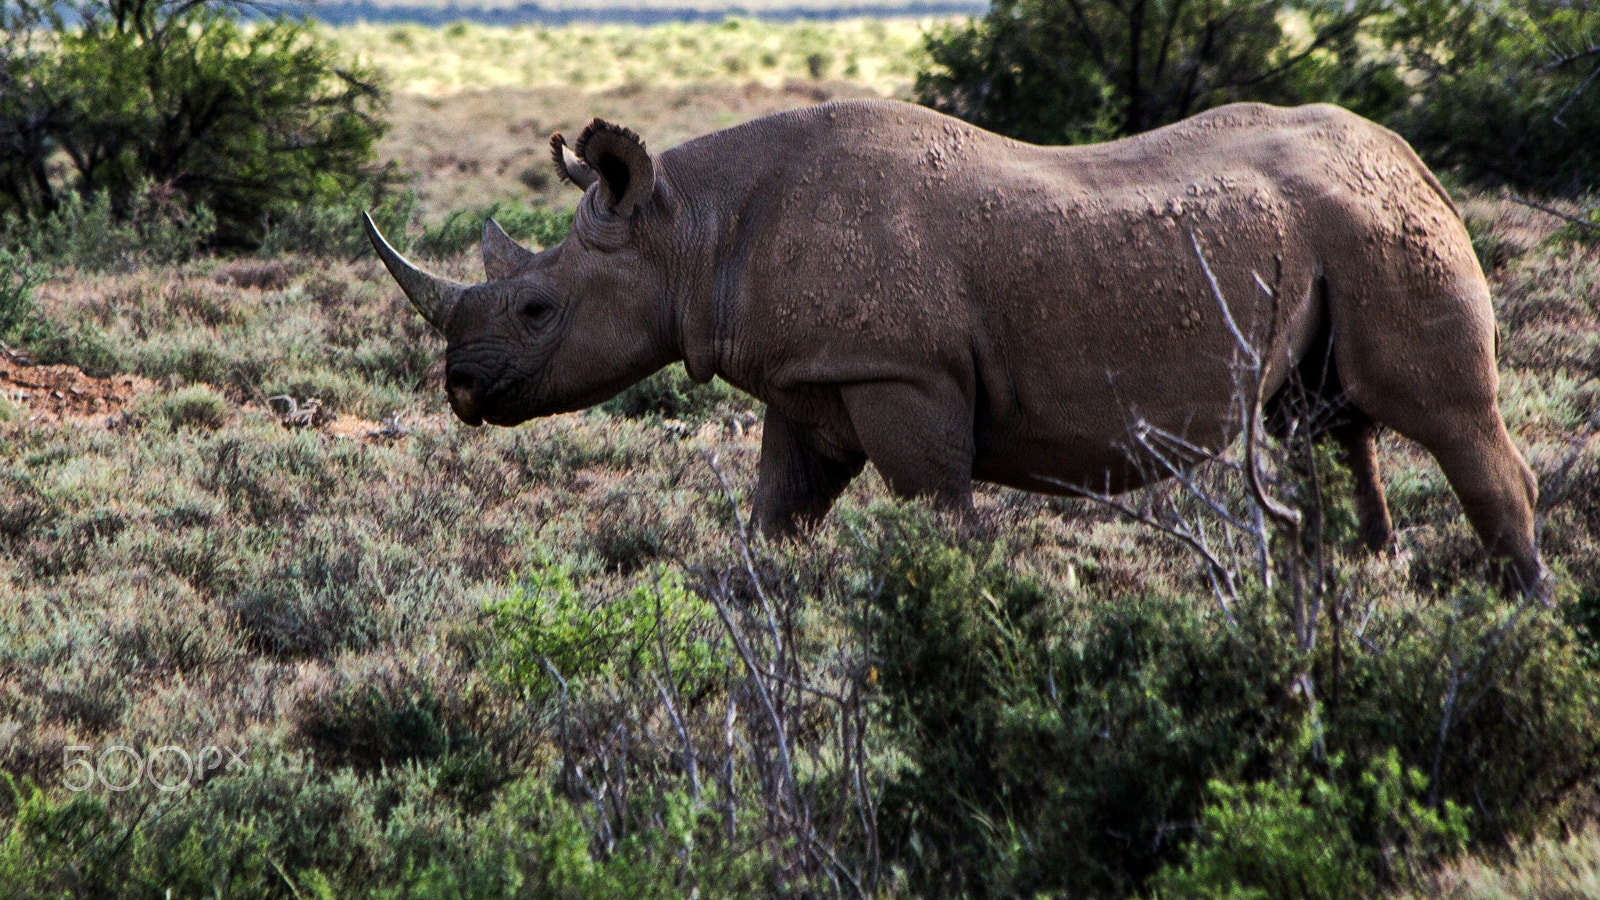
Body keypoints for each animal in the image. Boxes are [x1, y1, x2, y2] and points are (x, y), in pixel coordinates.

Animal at [363, 99, 1544, 592]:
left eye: (536, 311)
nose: (459, 387)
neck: (688, 227)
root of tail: (1415, 158)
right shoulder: (813, 382)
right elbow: (775, 515)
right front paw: (759, 607)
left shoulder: (903, 375)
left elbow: (941, 514)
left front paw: (967, 617)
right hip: (1335, 231)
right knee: (1325, 420)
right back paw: (1355, 581)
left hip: (1381, 231)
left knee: (1442, 417)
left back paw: (1517, 609)